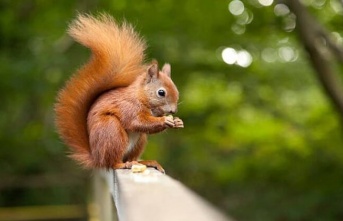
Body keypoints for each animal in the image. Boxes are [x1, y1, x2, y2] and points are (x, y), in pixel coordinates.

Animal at [54, 13, 183, 173]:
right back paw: (122, 164)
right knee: (113, 162)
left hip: (139, 140)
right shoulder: (128, 107)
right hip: (111, 131)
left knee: (131, 157)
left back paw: (145, 162)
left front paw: (177, 121)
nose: (173, 110)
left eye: (176, 90)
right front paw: (165, 120)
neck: (141, 96)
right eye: (161, 92)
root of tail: (97, 158)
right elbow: (138, 122)